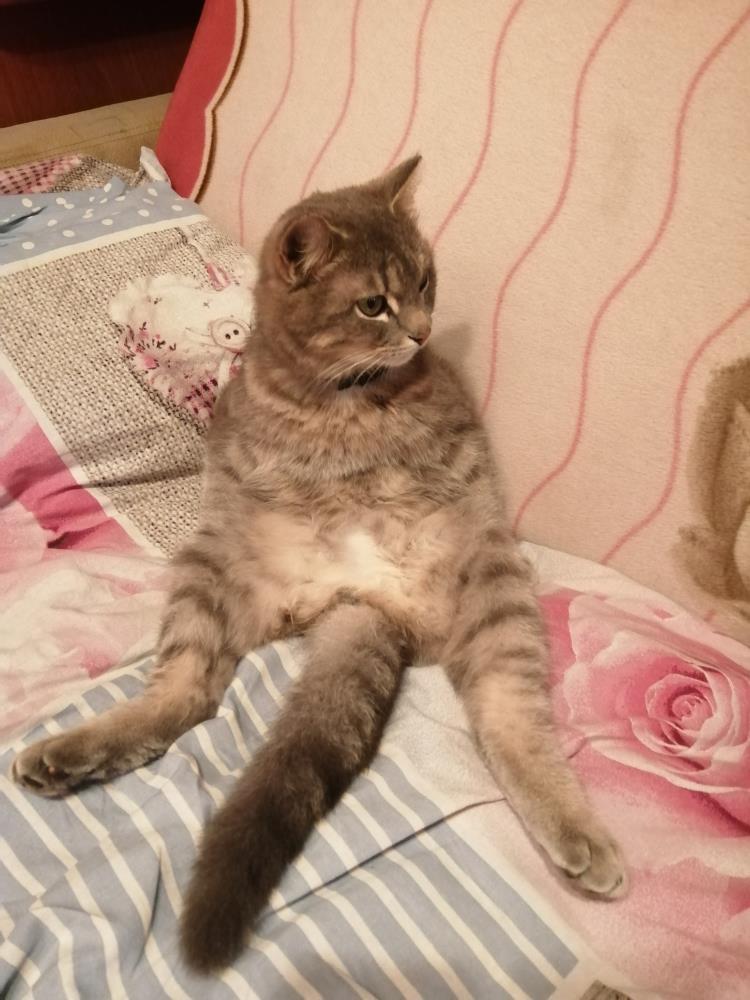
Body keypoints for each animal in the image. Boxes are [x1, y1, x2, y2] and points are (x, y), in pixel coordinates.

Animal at [13, 155, 626, 974]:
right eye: (373, 304)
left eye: (426, 281)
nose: (422, 332)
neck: (335, 393)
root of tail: (365, 598)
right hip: (208, 568)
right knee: (187, 695)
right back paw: (75, 752)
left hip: (494, 577)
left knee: (510, 727)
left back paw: (575, 832)